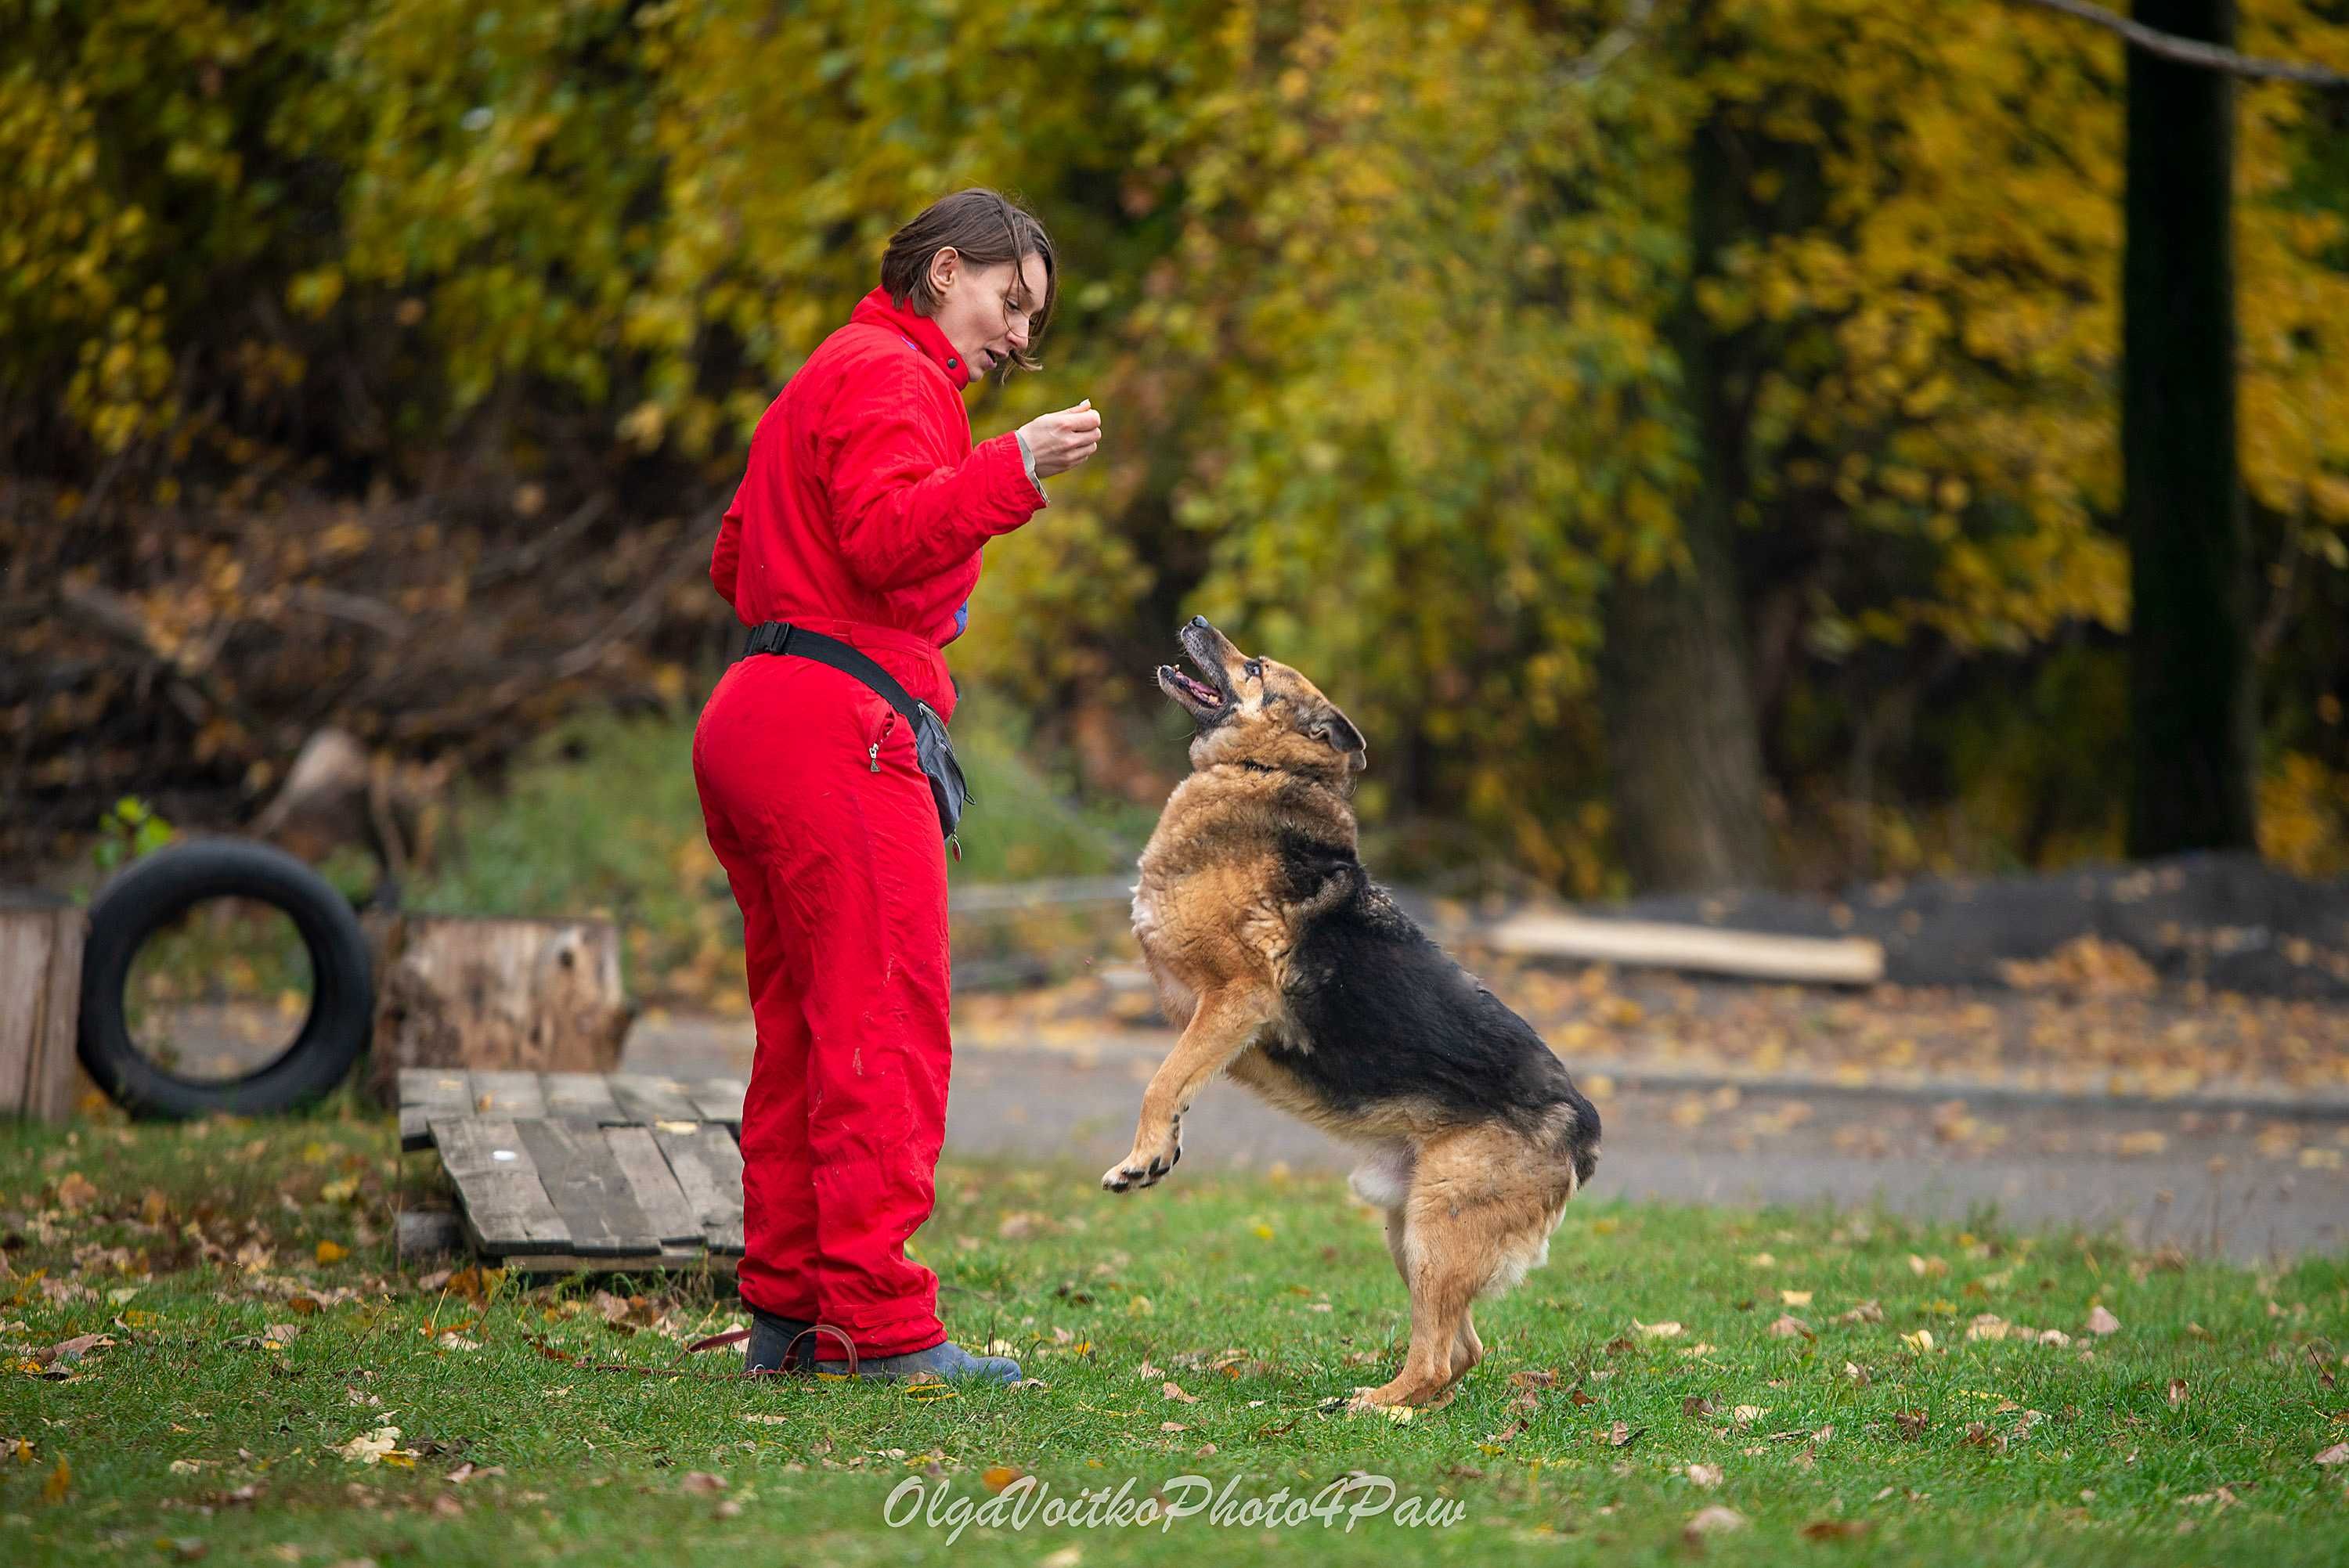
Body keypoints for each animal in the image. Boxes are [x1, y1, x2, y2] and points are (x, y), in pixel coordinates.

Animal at [1113, 619, 1597, 1418]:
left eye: (1255, 667)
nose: (1196, 622)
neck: (1261, 770)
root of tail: (1580, 1121)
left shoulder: (1234, 1000)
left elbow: (1161, 1080)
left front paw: (1141, 1155)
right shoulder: (1203, 1015)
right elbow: (1177, 1080)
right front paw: (1164, 1148)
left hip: (1437, 1230)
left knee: (1437, 1356)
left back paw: (1379, 1405)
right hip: (1411, 1229)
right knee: (1462, 1350)